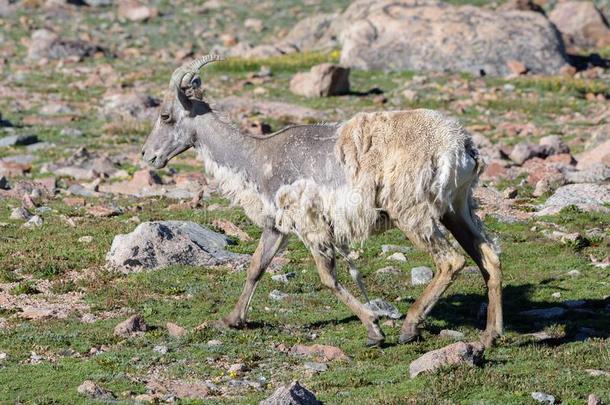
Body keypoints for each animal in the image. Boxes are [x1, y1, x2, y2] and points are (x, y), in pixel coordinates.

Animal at [140, 55, 502, 346]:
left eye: (166, 115)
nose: (148, 155)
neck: (257, 157)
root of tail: (461, 146)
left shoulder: (311, 224)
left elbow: (328, 278)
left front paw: (373, 329)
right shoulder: (278, 226)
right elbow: (256, 267)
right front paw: (232, 320)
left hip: (413, 212)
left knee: (451, 261)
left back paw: (410, 327)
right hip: (457, 209)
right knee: (489, 257)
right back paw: (491, 335)